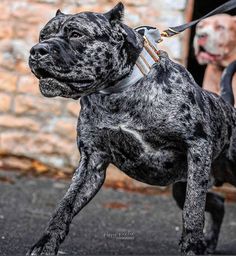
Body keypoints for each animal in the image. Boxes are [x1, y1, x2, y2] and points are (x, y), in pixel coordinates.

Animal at [28, 2, 236, 256]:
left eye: (76, 34)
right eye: (43, 36)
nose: (37, 50)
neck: (118, 92)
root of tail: (228, 106)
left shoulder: (197, 146)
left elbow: (193, 207)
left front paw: (192, 246)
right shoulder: (91, 161)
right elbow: (65, 205)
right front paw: (45, 243)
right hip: (184, 184)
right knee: (218, 204)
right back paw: (210, 243)